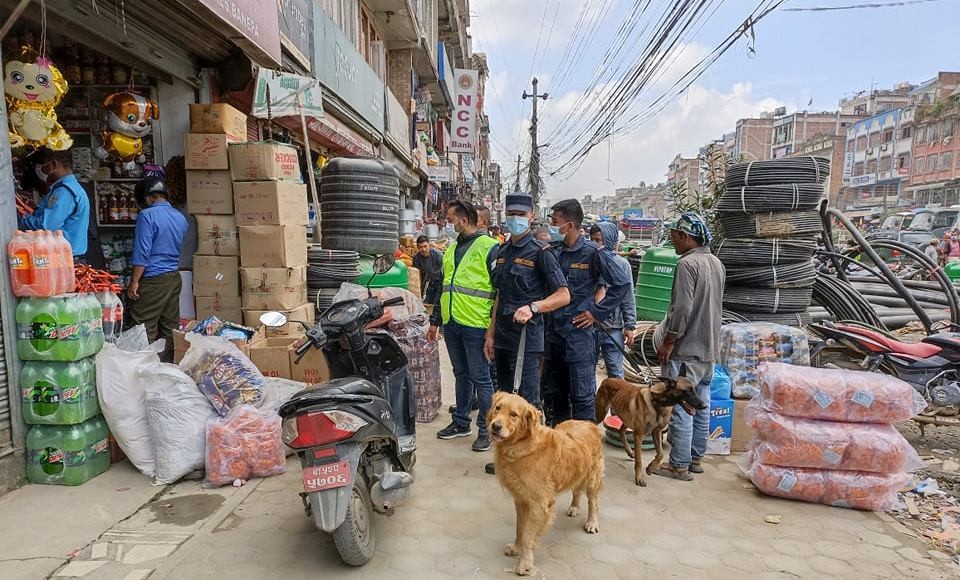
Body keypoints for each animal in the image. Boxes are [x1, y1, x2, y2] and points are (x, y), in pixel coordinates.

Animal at [488, 392, 600, 576]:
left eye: (514, 414)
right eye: (498, 408)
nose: (495, 426)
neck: (521, 445)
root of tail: (588, 423)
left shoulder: (539, 504)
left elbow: (528, 536)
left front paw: (525, 563)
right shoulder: (521, 500)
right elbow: (520, 528)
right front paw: (517, 548)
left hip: (592, 477)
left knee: (593, 502)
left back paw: (592, 522)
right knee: (576, 490)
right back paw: (574, 507)